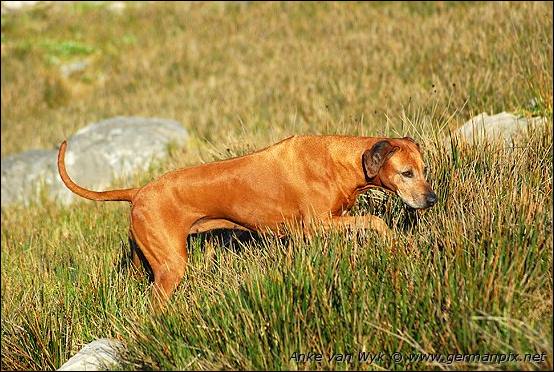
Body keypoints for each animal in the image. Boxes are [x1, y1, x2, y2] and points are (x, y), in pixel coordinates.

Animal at [57, 135, 436, 306]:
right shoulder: (317, 224)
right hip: (171, 267)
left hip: (145, 259)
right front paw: (393, 242)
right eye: (406, 173)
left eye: (424, 169)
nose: (431, 199)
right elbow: (374, 221)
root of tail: (139, 191)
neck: (338, 160)